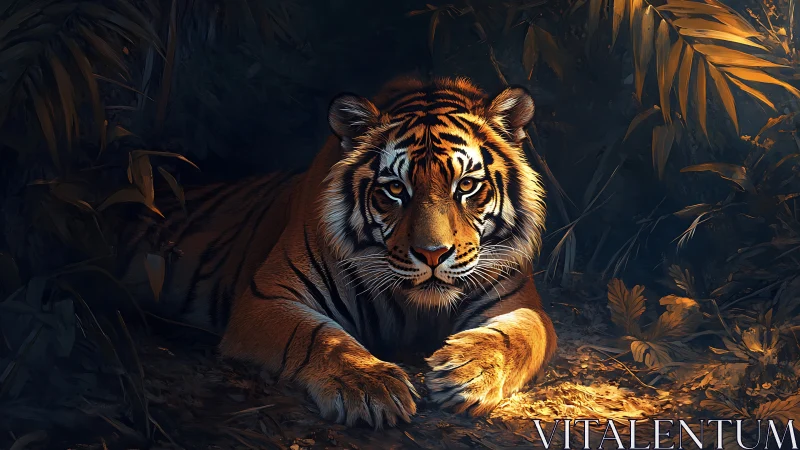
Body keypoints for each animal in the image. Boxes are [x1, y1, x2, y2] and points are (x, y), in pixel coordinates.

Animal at [117, 76, 557, 428]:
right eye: (395, 189)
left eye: (466, 186)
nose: (432, 254)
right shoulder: (266, 298)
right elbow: (319, 337)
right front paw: (370, 387)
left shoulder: (520, 301)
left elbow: (518, 336)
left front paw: (467, 373)